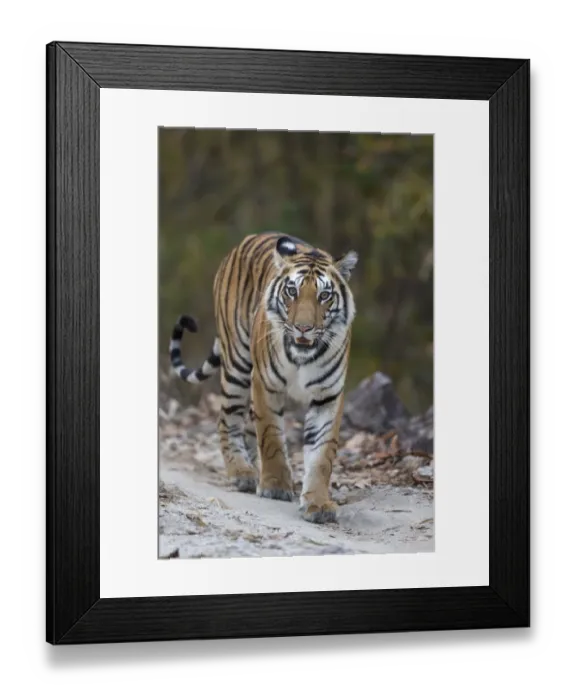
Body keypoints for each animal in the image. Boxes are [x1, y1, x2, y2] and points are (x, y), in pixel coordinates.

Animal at [169, 232, 358, 523]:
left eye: (324, 295)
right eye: (292, 291)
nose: (304, 328)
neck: (303, 357)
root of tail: (248, 239)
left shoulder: (328, 395)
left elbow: (322, 455)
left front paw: (318, 504)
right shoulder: (266, 384)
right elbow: (271, 437)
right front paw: (275, 486)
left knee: (247, 426)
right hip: (237, 363)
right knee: (226, 419)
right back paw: (242, 473)